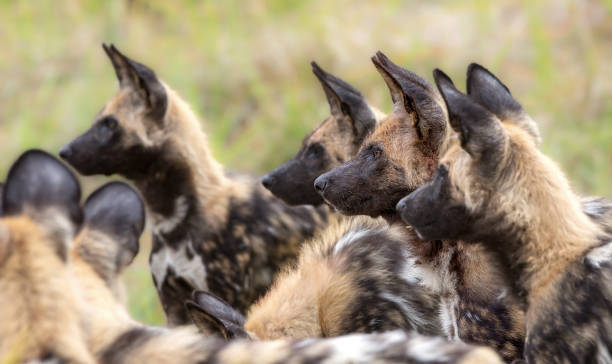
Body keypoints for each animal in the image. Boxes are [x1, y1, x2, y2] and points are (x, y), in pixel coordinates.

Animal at [58, 44, 330, 326]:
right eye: (99, 120)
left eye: (110, 124)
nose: (64, 151)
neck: (171, 221)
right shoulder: (174, 304)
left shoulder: (226, 299)